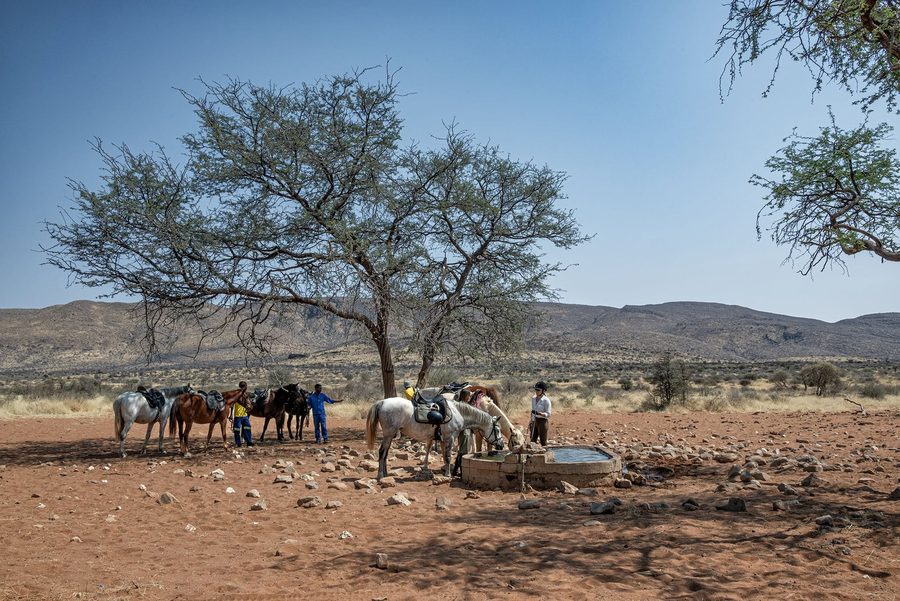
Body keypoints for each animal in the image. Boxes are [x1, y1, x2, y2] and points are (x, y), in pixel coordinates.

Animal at [366, 397, 504, 480]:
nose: (501, 445)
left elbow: (444, 456)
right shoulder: (449, 438)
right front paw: (448, 474)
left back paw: (385, 473)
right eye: (497, 430)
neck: (457, 412)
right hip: (388, 435)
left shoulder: (442, 439)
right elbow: (448, 456)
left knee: (385, 453)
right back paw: (380, 475)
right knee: (382, 452)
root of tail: (382, 402)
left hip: (389, 436)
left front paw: (446, 471)